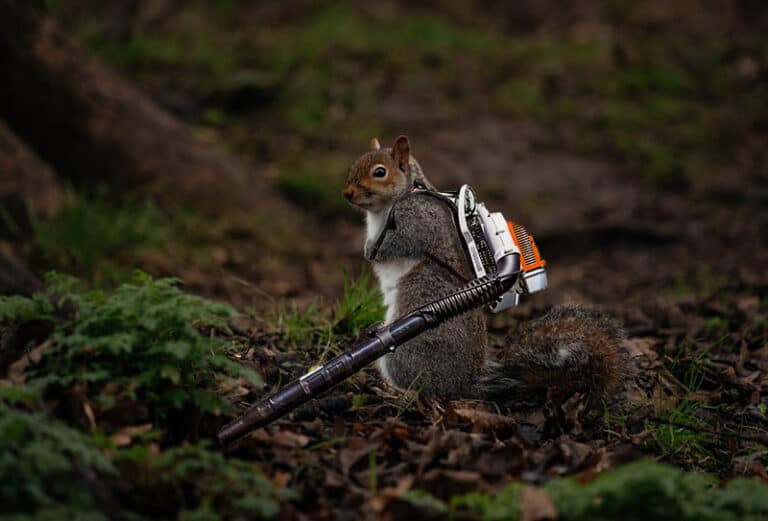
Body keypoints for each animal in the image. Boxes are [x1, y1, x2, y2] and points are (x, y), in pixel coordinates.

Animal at [342, 134, 632, 402]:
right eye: (355, 163)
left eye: (379, 172)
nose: (347, 193)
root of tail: (465, 384)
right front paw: (368, 248)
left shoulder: (419, 219)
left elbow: (401, 243)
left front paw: (373, 251)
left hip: (411, 334)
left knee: (426, 389)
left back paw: (400, 391)